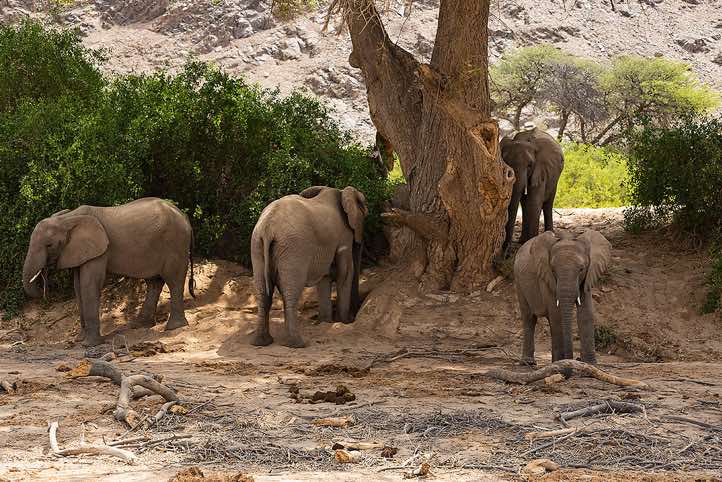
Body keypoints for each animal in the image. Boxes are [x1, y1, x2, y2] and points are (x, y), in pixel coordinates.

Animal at [23, 197, 195, 346]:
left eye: (49, 245)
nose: (43, 288)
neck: (68, 218)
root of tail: (184, 216)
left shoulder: (100, 250)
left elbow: (89, 284)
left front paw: (89, 344)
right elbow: (78, 287)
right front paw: (80, 340)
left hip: (175, 243)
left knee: (174, 280)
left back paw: (174, 327)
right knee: (154, 282)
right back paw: (139, 325)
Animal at [250, 185, 368, 348]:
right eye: (366, 214)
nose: (353, 317)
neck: (341, 192)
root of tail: (268, 227)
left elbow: (325, 276)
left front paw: (325, 322)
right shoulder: (344, 236)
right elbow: (345, 273)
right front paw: (343, 322)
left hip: (257, 244)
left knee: (263, 294)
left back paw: (261, 342)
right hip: (293, 248)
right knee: (291, 292)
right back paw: (297, 344)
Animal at [513, 230, 611, 367]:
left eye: (581, 269)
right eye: (553, 270)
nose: (576, 359)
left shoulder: (587, 277)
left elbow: (586, 314)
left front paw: (590, 364)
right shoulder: (546, 276)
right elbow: (556, 314)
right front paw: (561, 362)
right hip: (519, 282)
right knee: (529, 318)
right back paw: (528, 362)